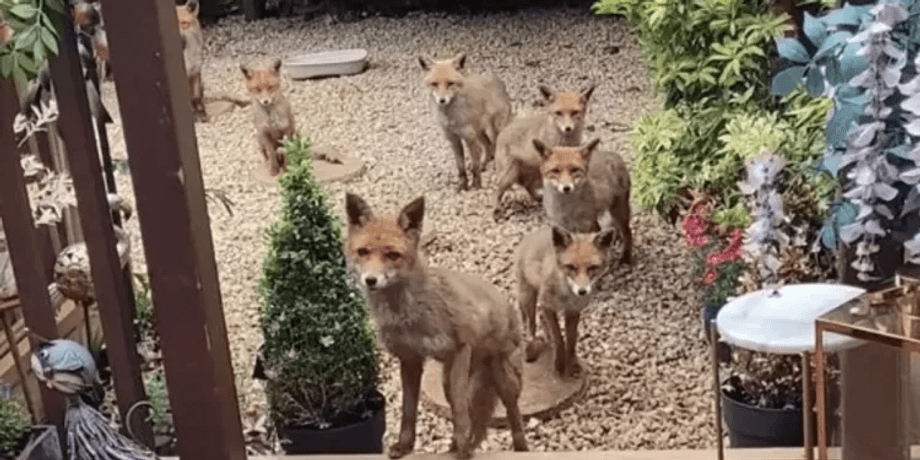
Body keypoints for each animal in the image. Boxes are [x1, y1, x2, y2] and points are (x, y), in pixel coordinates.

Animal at [344, 193, 528, 460]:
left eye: (392, 255)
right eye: (363, 252)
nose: (370, 280)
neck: (409, 314)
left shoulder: (460, 347)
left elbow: (461, 410)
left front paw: (463, 449)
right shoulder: (410, 359)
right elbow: (408, 410)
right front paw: (405, 446)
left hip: (504, 380)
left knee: (513, 415)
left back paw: (518, 447)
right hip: (447, 381)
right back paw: (452, 445)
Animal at [419, 53, 513, 191]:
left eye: (450, 83)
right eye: (434, 84)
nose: (442, 100)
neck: (451, 119)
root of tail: (498, 80)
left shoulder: (469, 138)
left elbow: (475, 165)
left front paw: (476, 185)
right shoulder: (454, 139)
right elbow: (461, 168)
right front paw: (462, 186)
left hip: (494, 130)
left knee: (496, 148)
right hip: (479, 132)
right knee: (489, 146)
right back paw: (485, 164)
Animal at [492, 85, 595, 221]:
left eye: (575, 112)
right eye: (558, 113)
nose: (567, 128)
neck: (564, 142)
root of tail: (502, 132)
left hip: (532, 172)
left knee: (527, 186)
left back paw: (537, 199)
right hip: (509, 175)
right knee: (497, 191)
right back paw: (497, 209)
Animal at [515, 225, 616, 378]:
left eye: (592, 268)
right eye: (571, 267)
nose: (582, 291)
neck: (567, 296)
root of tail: (531, 235)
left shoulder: (573, 311)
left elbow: (571, 339)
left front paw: (572, 363)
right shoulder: (547, 305)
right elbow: (558, 338)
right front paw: (560, 363)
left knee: (540, 319)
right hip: (528, 298)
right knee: (529, 325)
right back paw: (530, 348)